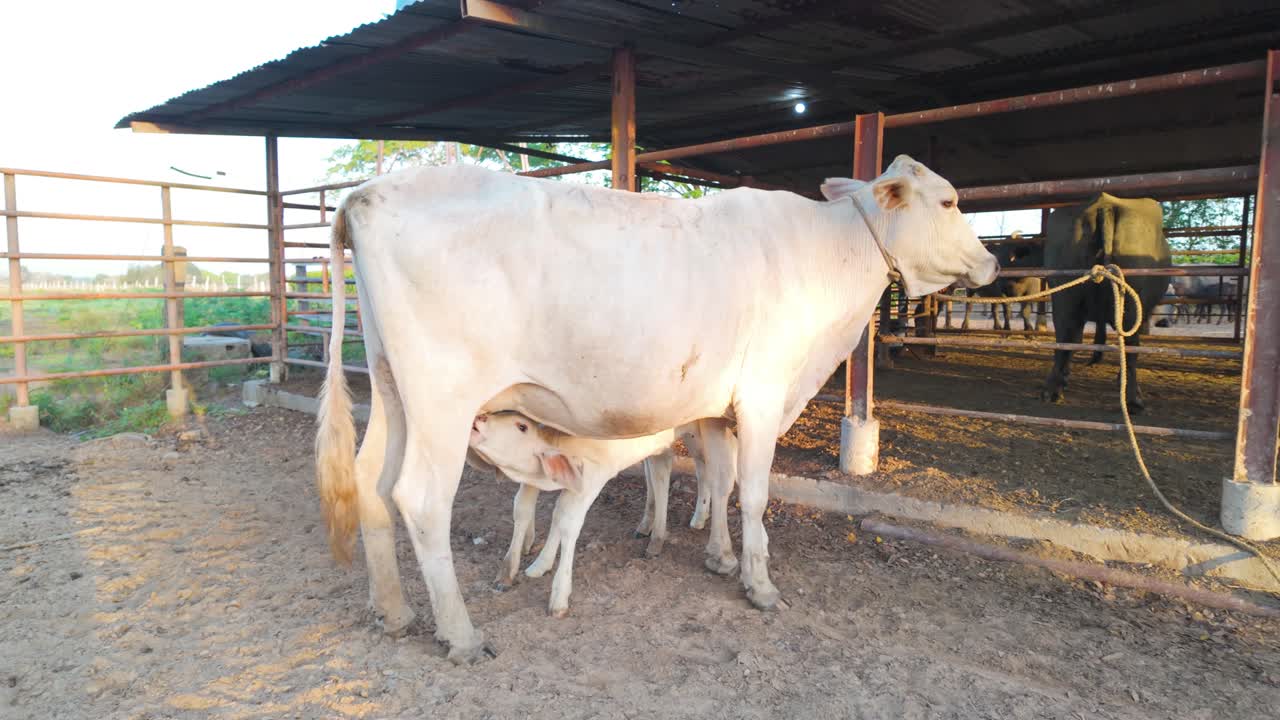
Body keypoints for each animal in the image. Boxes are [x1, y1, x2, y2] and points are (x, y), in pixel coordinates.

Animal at [314, 157, 999, 664]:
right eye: (948, 201)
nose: (993, 259)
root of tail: (368, 192)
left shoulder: (715, 408)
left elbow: (719, 481)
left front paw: (720, 558)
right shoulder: (763, 391)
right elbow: (753, 492)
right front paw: (759, 584)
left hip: (392, 385)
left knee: (372, 482)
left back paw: (395, 612)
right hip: (444, 398)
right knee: (420, 498)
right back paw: (459, 634)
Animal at [1040, 193, 1170, 411]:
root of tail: (1105, 203)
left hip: (1064, 295)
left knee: (1065, 338)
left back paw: (1053, 391)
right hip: (1132, 303)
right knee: (1131, 347)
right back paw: (1133, 399)